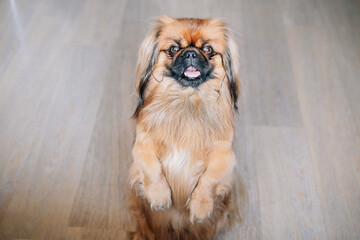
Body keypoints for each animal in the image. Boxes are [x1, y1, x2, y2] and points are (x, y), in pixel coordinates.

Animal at [129, 15, 239, 239]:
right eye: (173, 48)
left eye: (207, 49)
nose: (190, 53)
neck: (187, 99)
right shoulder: (143, 143)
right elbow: (153, 169)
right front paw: (160, 197)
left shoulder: (224, 153)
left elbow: (209, 180)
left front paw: (201, 207)